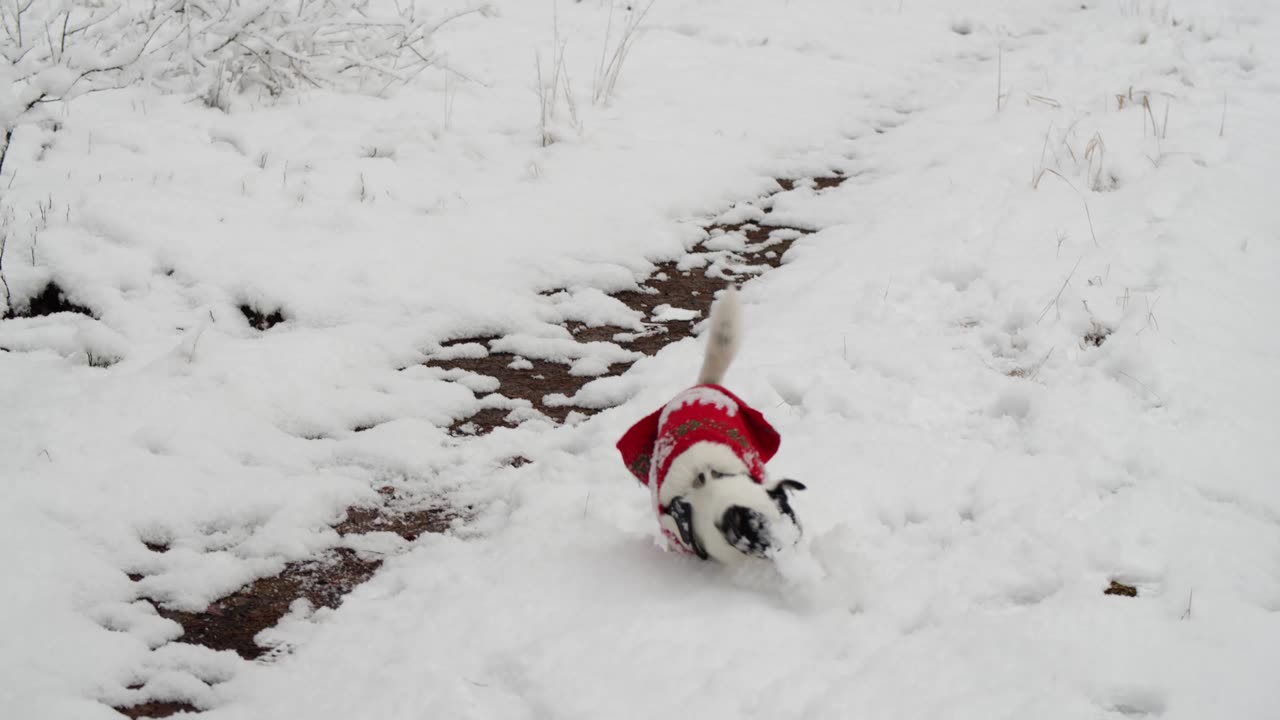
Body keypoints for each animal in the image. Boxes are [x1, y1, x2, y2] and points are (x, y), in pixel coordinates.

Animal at [614, 285, 803, 561]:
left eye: (796, 528)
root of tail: (703, 386)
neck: (707, 482)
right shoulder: (678, 536)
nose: (795, 558)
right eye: (765, 541)